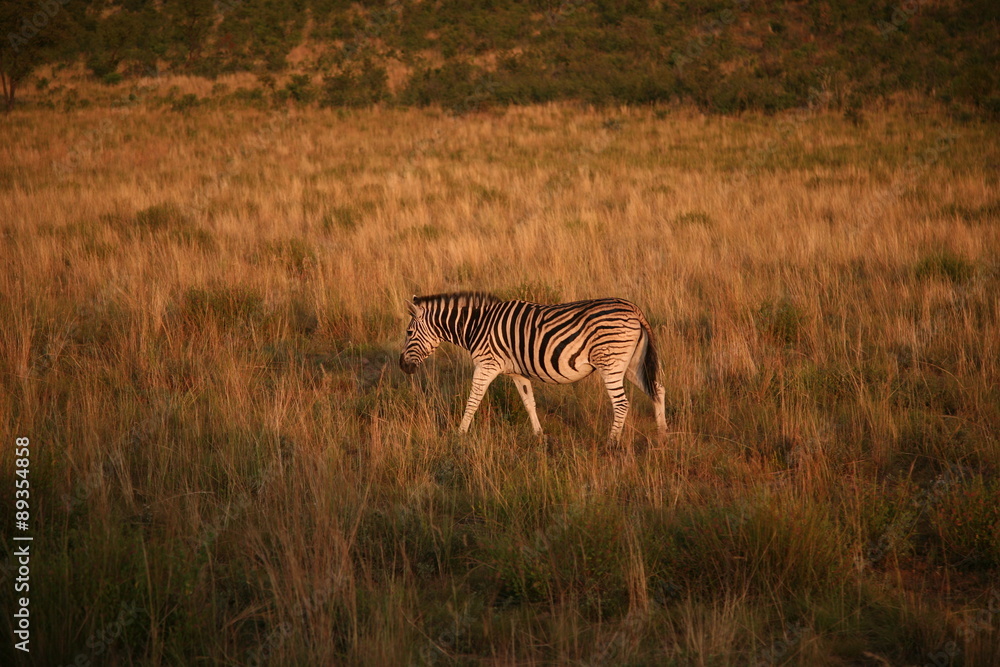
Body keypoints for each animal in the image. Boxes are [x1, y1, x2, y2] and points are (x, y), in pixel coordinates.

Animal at [399, 292, 667, 446]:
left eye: (409, 332)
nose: (403, 366)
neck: (477, 325)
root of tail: (633, 308)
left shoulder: (487, 364)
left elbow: (473, 400)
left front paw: (459, 433)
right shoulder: (517, 372)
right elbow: (529, 403)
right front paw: (539, 435)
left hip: (610, 363)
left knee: (622, 404)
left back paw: (611, 444)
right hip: (632, 363)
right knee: (658, 390)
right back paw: (663, 433)